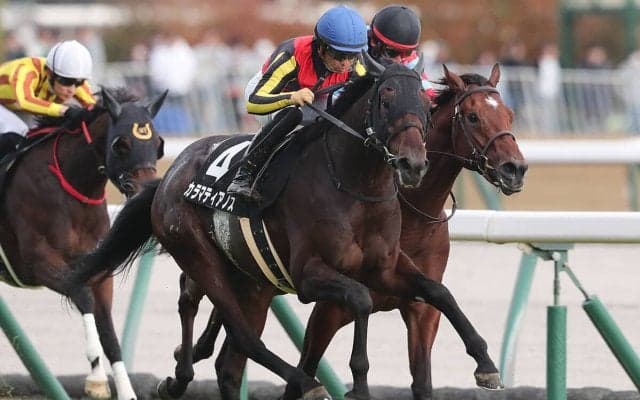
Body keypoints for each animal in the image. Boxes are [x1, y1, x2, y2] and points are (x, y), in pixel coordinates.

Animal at [0, 86, 166, 400]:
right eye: (121, 144)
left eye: (159, 144)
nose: (146, 192)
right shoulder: (40, 263)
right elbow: (82, 296)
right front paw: (96, 379)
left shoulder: (100, 269)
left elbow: (110, 334)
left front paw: (126, 391)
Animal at [62, 57, 500, 400]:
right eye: (386, 98)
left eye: (425, 104)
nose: (412, 163)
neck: (357, 186)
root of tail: (170, 175)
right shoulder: (311, 277)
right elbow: (359, 299)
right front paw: (357, 381)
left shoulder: (387, 269)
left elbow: (438, 292)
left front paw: (485, 361)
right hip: (198, 254)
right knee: (240, 334)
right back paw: (302, 382)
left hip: (250, 282)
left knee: (227, 357)